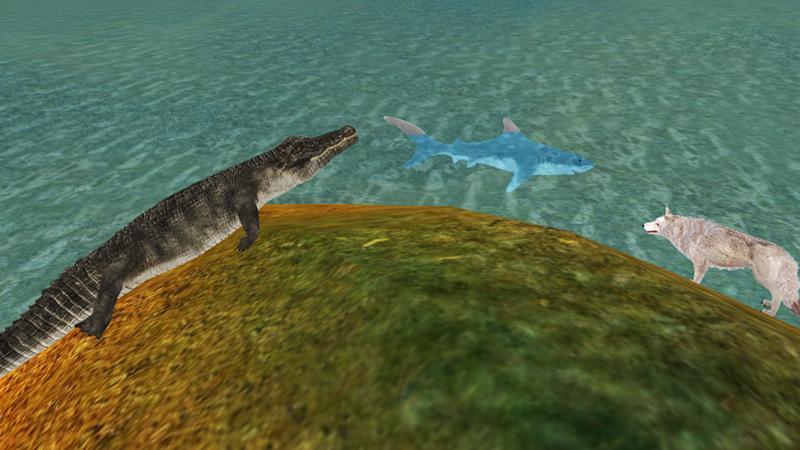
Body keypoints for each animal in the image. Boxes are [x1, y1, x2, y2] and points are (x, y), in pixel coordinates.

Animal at [643, 207, 800, 317]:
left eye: (657, 223)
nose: (643, 224)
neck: (686, 232)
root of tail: (788, 256)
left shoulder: (700, 263)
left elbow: (696, 279)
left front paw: (691, 284)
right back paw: (767, 304)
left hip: (762, 278)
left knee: (778, 295)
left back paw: (770, 313)